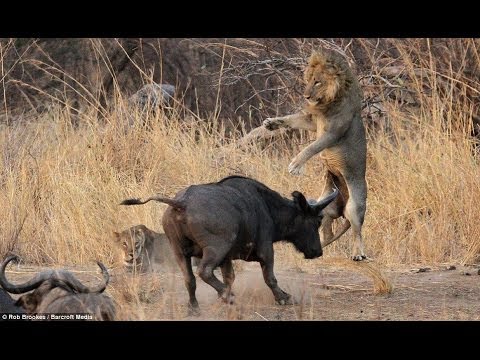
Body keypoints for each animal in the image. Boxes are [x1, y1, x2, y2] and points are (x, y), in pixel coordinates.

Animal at [262, 49, 368, 260]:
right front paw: (272, 123)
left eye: (318, 82)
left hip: (355, 204)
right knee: (326, 233)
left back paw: (358, 254)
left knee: (356, 230)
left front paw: (295, 165)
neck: (327, 102)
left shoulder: (332, 133)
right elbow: (291, 119)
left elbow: (311, 148)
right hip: (322, 208)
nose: (306, 96)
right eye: (309, 80)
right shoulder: (312, 121)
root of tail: (342, 204)